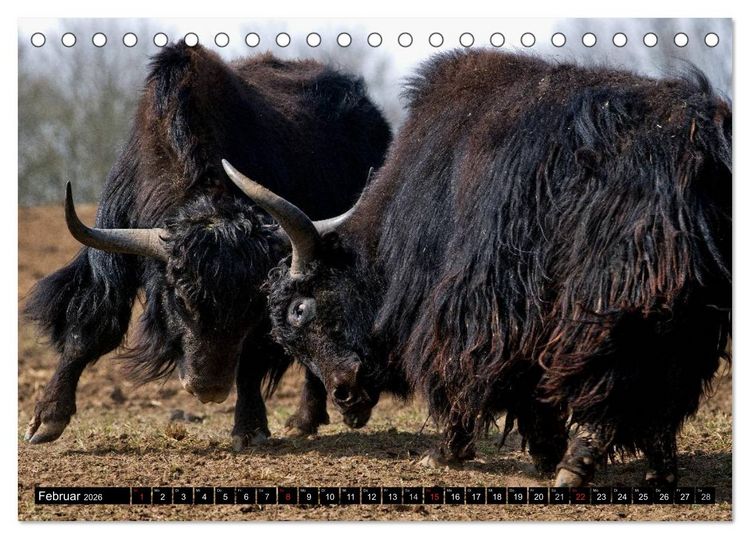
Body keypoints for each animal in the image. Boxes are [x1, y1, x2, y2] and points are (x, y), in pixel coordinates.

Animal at [23, 41, 392, 448]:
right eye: (182, 299)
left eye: (250, 305)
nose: (209, 390)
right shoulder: (110, 245)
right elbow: (90, 324)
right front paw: (46, 420)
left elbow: (253, 354)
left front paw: (250, 429)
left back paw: (307, 418)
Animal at [222, 49, 731, 486]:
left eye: (299, 309)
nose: (344, 396)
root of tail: (690, 150)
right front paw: (542, 451)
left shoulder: (479, 301)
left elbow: (462, 367)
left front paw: (449, 451)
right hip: (684, 312)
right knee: (661, 385)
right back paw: (658, 470)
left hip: (607, 299)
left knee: (608, 376)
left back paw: (577, 466)